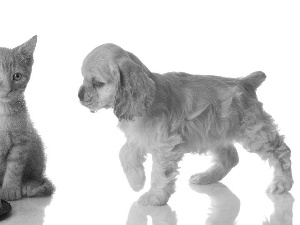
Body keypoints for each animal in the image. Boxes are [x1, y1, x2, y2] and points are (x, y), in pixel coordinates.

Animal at [0, 35, 54, 200]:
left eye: (17, 76)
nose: (8, 89)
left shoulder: (22, 140)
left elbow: (15, 166)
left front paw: (10, 189)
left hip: (35, 140)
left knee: (37, 177)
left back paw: (29, 185)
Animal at [77, 43, 292, 206]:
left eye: (98, 83)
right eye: (84, 79)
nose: (79, 95)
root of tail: (245, 82)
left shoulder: (165, 146)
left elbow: (159, 172)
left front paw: (153, 197)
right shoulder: (139, 138)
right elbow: (124, 153)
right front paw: (136, 181)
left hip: (254, 131)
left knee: (281, 151)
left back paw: (282, 184)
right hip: (214, 132)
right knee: (231, 157)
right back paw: (206, 177)